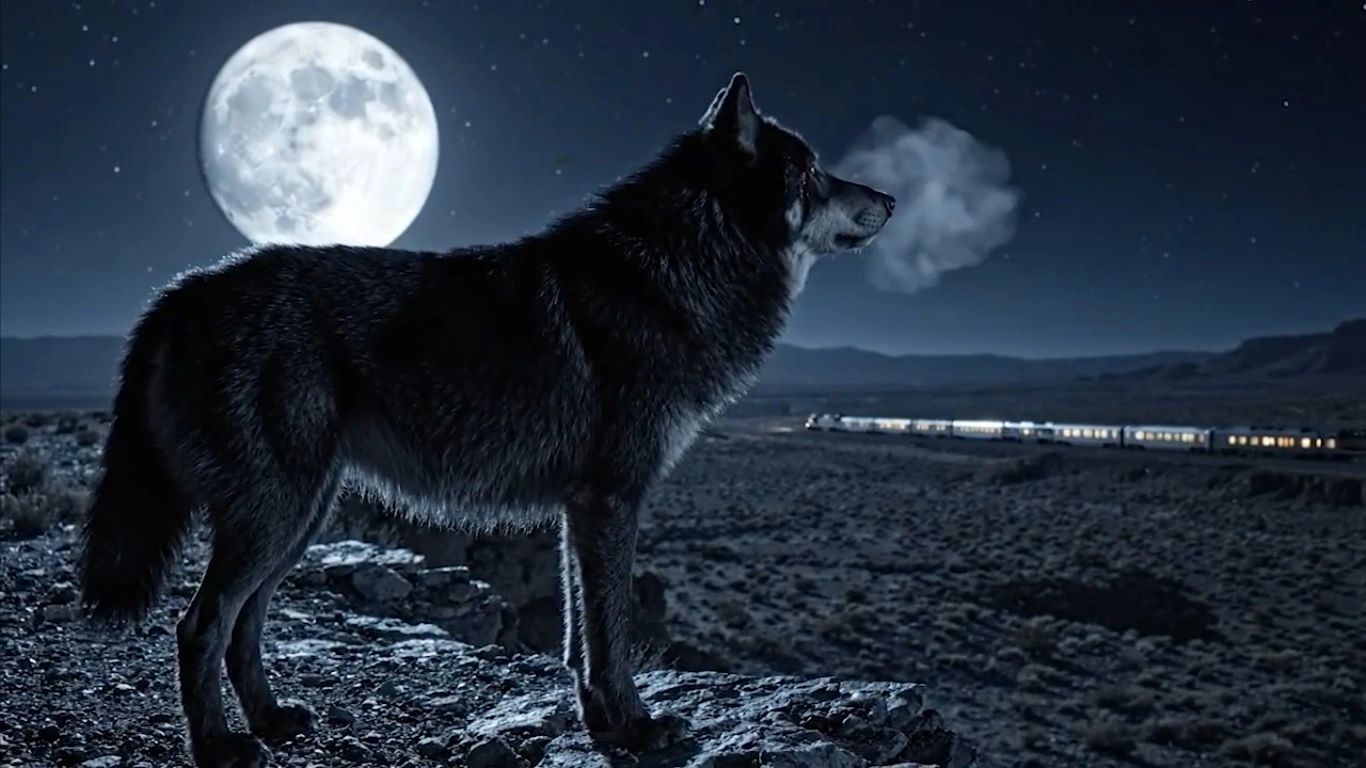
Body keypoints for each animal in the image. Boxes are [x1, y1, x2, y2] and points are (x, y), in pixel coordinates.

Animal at [77, 72, 894, 767]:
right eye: (812, 173)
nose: (888, 199)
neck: (680, 265)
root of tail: (182, 290)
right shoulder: (613, 498)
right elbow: (611, 633)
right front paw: (636, 728)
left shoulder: (580, 508)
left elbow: (578, 636)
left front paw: (601, 723)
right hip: (276, 516)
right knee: (199, 625)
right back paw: (220, 746)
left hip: (300, 516)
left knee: (243, 624)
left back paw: (274, 721)